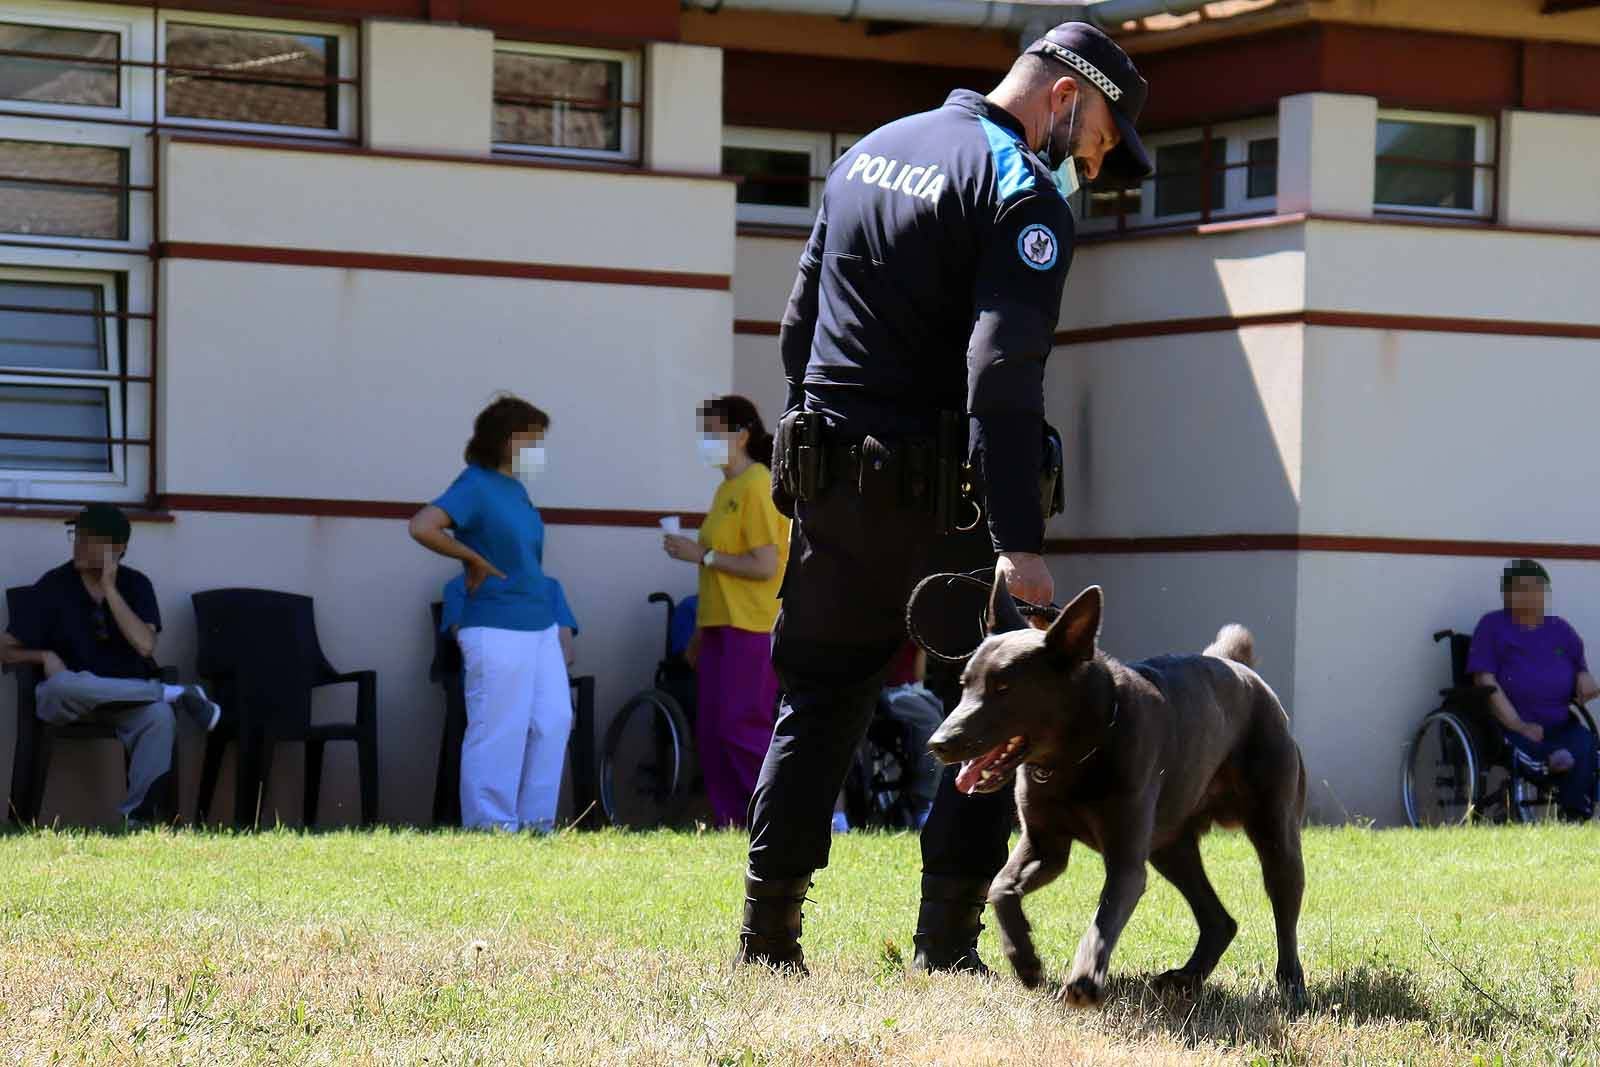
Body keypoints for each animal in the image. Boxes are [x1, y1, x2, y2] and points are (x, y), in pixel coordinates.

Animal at [928, 585, 1312, 1011]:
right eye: (965, 683)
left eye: (1003, 688)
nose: (938, 743)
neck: (1073, 757)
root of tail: (1236, 665)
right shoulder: (1044, 846)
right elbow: (1000, 887)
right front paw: (1025, 960)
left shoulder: (1126, 861)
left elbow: (1104, 920)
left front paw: (1083, 981)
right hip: (1170, 846)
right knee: (1219, 920)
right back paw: (1186, 977)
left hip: (1275, 833)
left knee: (1284, 913)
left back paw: (1291, 986)